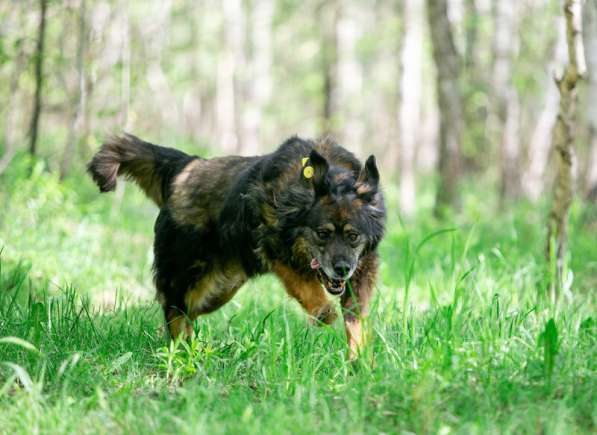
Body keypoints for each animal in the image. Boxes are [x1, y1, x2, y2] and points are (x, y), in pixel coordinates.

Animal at [88, 135, 386, 360]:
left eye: (353, 236)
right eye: (322, 234)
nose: (342, 269)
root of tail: (188, 166)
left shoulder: (363, 269)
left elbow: (356, 320)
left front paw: (359, 362)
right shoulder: (272, 248)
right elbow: (304, 285)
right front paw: (323, 311)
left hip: (217, 290)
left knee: (188, 313)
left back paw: (190, 348)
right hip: (181, 274)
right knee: (174, 310)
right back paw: (180, 351)